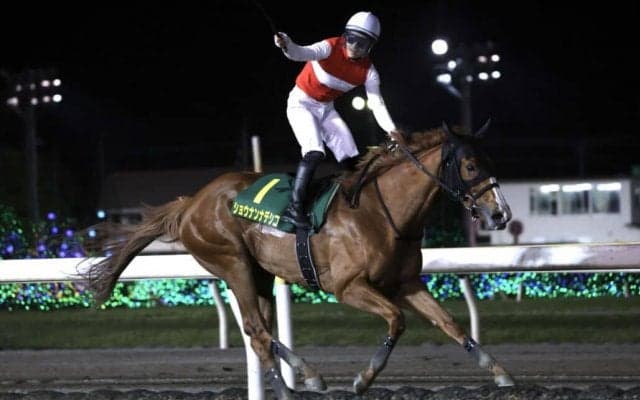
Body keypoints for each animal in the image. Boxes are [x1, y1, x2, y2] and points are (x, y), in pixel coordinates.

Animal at [83, 125, 514, 399]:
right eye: (471, 166)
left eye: (493, 163)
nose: (500, 215)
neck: (381, 212)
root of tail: (190, 202)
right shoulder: (348, 287)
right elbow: (397, 319)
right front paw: (363, 379)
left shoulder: (406, 283)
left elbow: (450, 322)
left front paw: (499, 371)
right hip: (232, 262)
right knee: (257, 331)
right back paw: (297, 384)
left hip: (258, 273)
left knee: (258, 330)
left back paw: (299, 380)